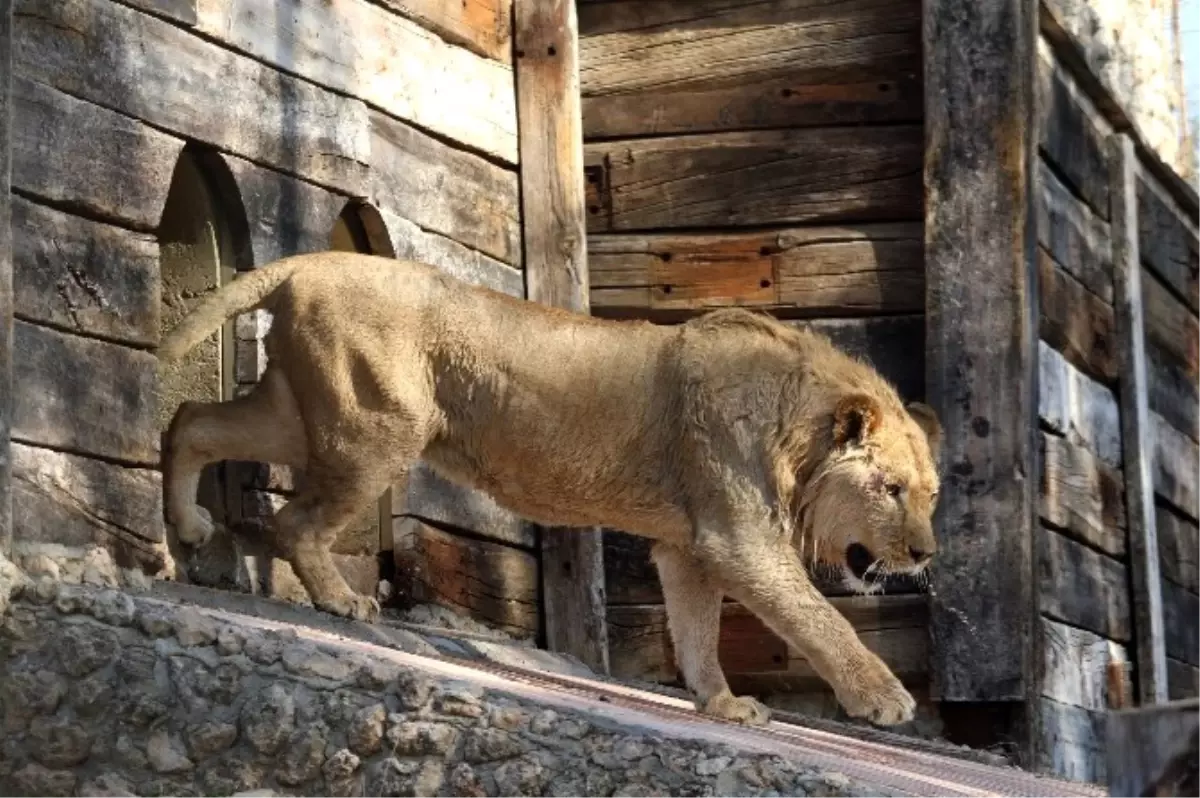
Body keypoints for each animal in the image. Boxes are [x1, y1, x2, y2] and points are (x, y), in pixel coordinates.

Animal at [159, 250, 940, 729]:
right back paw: (339, 600)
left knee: (191, 419)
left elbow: (696, 633)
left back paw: (189, 529)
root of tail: (309, 262)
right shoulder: (738, 538)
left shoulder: (688, 547)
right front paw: (885, 698)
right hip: (375, 431)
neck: (797, 431)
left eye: (931, 495)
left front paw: (721, 704)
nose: (925, 553)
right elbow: (820, 619)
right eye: (892, 489)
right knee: (294, 521)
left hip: (301, 416)